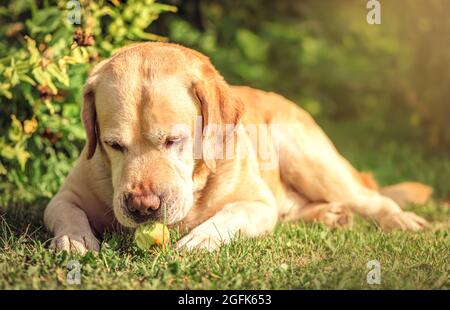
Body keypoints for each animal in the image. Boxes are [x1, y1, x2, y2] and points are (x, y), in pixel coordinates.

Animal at [44, 41, 430, 254]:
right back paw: (330, 215)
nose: (142, 207)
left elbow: (231, 214)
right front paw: (76, 240)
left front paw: (201, 238)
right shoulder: (61, 198)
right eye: (113, 145)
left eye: (173, 140)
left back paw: (399, 219)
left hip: (306, 154)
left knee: (371, 199)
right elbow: (68, 213)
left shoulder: (257, 204)